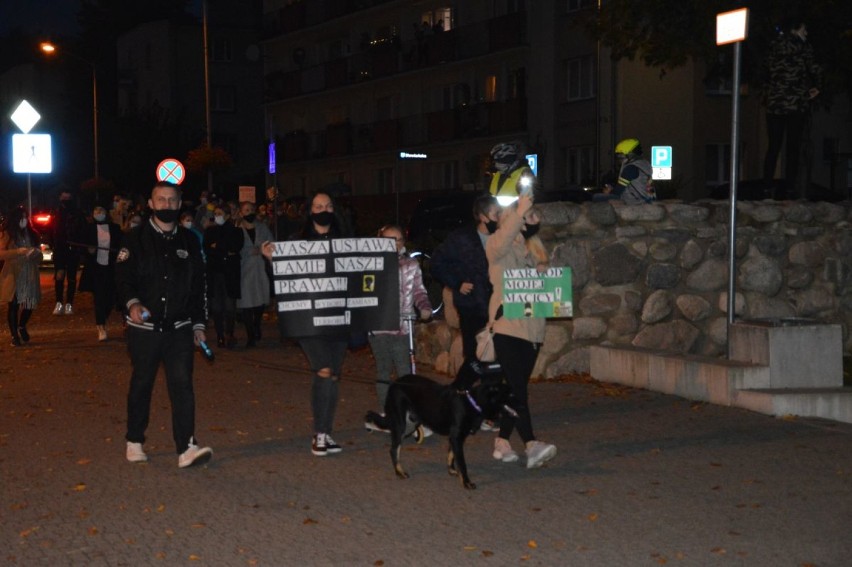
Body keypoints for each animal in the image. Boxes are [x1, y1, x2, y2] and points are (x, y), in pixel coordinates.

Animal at [364, 370, 512, 490]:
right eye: (510, 394)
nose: (519, 404)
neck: (471, 402)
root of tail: (394, 383)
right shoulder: (457, 437)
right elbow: (462, 463)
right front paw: (466, 483)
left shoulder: (455, 437)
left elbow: (451, 455)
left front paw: (452, 471)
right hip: (401, 425)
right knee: (394, 449)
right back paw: (399, 472)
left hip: (410, 424)